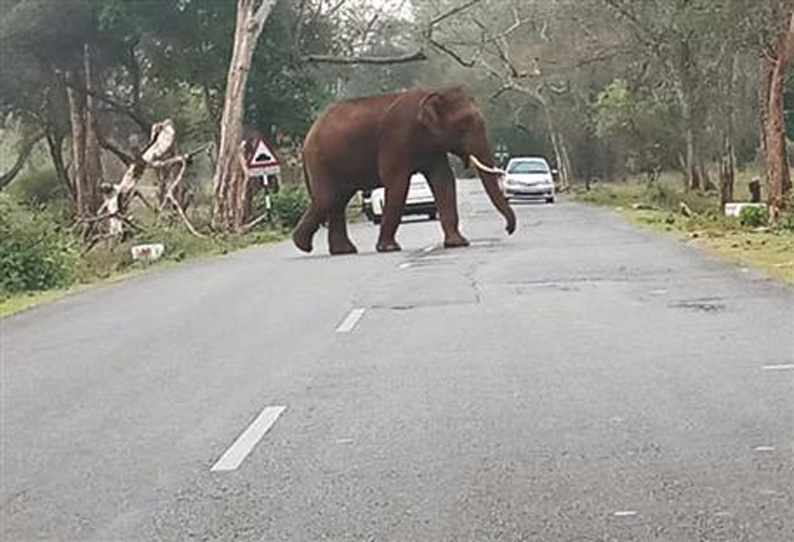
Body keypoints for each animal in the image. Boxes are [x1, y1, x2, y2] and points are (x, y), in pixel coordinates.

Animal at [290, 86, 512, 256]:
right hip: (320, 160)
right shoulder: (397, 136)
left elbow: (444, 181)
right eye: (465, 125)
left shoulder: (433, 147)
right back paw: (303, 245)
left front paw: (458, 243)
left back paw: (339, 250)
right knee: (329, 198)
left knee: (337, 200)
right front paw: (389, 248)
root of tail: (308, 135)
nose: (508, 229)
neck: (434, 92)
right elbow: (397, 183)